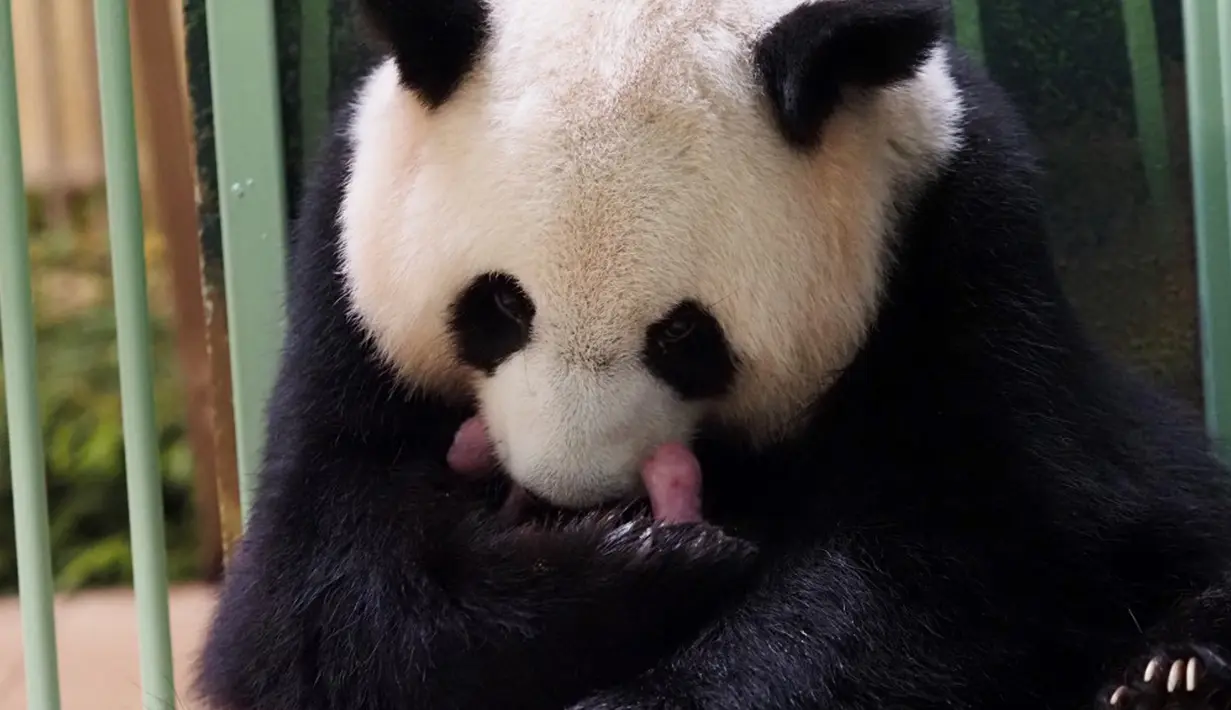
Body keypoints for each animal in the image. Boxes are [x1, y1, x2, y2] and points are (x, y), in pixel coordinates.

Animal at [196, 0, 1231, 708]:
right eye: (498, 307)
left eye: (684, 337)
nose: (570, 493)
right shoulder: (341, 303)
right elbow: (318, 609)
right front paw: (627, 561)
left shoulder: (957, 265)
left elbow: (953, 570)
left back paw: (1167, 673)